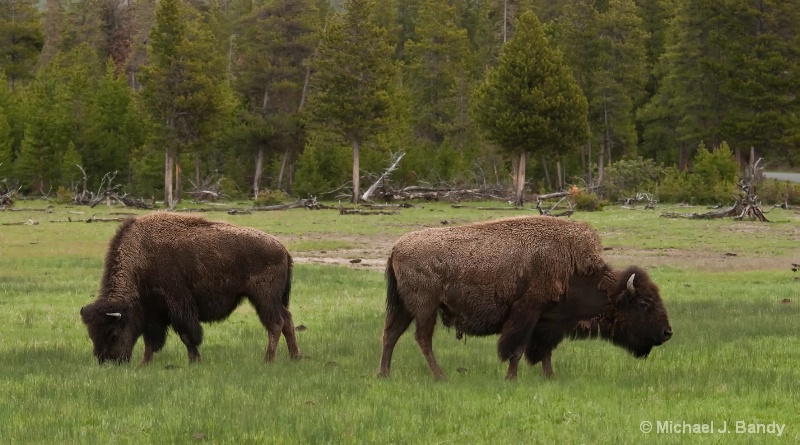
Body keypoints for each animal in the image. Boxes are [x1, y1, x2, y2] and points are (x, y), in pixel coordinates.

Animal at [80, 212, 300, 364]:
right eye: (92, 335)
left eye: (113, 333)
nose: (107, 361)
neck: (141, 258)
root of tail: (283, 249)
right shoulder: (154, 313)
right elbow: (151, 340)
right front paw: (144, 363)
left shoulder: (178, 306)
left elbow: (187, 335)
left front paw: (194, 361)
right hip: (273, 300)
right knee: (287, 320)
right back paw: (294, 357)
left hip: (264, 298)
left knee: (276, 324)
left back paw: (268, 360)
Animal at [378, 215, 672, 378]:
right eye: (644, 303)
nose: (668, 333)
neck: (572, 269)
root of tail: (395, 247)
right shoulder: (528, 313)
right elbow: (517, 348)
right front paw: (511, 378)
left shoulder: (549, 321)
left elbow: (545, 352)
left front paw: (550, 377)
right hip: (425, 309)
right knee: (422, 339)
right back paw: (440, 377)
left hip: (404, 308)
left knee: (391, 335)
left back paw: (384, 375)